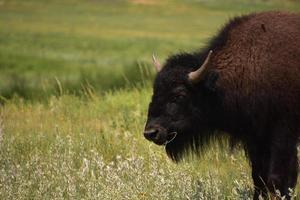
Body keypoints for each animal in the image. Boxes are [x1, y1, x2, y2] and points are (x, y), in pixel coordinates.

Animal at [143, 11, 300, 199]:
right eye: (155, 90)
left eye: (179, 94)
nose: (151, 132)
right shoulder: (254, 138)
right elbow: (258, 177)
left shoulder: (283, 135)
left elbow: (278, 177)